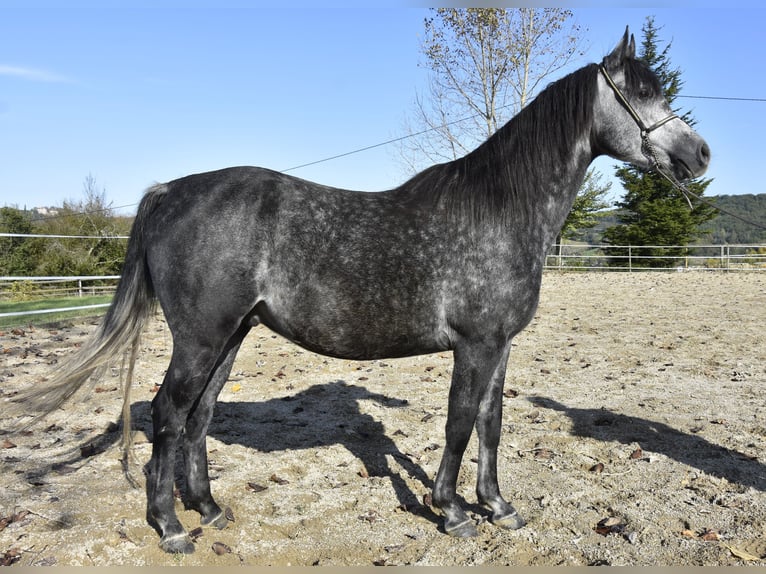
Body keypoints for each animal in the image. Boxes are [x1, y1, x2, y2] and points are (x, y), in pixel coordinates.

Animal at [7, 29, 712, 556]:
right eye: (640, 93)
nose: (700, 154)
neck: (497, 212)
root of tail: (166, 192)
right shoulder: (476, 344)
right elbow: (460, 422)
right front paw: (451, 511)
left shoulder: (501, 345)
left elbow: (491, 423)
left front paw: (498, 505)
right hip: (201, 338)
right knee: (168, 414)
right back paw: (172, 527)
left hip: (230, 336)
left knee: (199, 416)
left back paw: (209, 508)